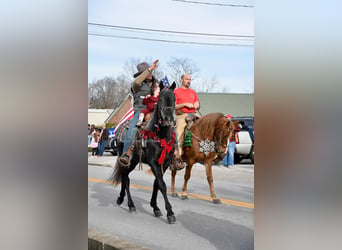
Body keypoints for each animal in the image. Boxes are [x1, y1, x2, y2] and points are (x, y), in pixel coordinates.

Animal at [109, 82, 178, 225]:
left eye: (174, 99)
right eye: (161, 100)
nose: (169, 119)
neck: (160, 136)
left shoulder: (165, 163)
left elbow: (157, 183)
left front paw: (155, 207)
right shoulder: (153, 163)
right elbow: (162, 185)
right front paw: (170, 213)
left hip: (134, 161)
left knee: (125, 177)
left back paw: (121, 198)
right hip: (127, 160)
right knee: (126, 178)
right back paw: (131, 205)